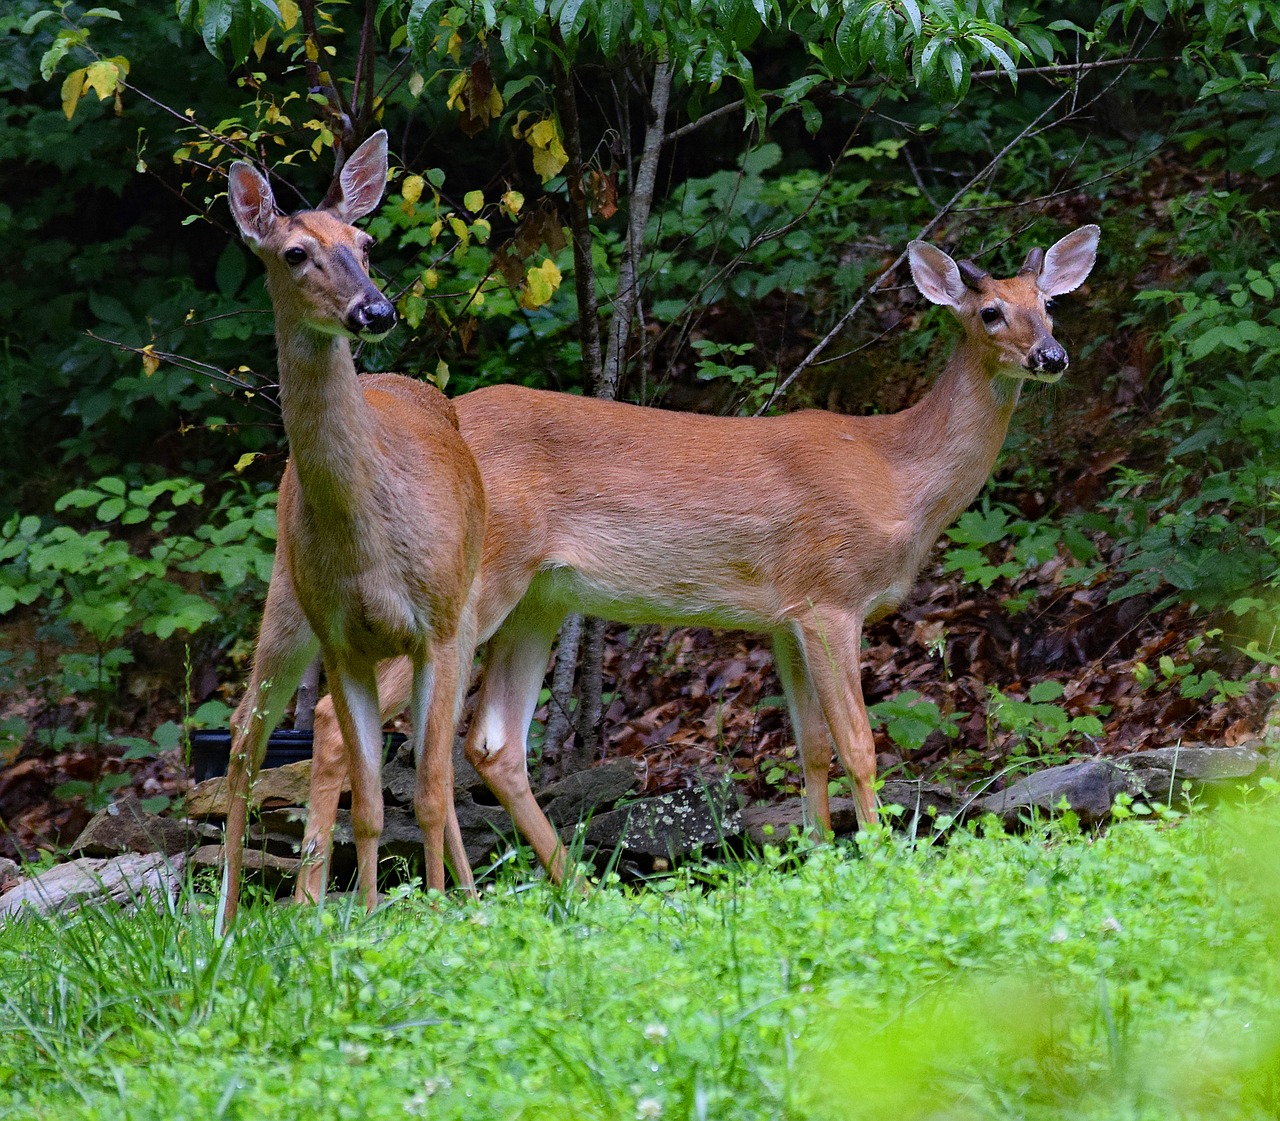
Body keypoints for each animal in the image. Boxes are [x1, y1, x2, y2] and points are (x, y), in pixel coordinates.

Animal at [217, 131, 481, 926]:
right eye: (296, 252)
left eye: (364, 242)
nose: (376, 310)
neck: (369, 538)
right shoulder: (342, 637)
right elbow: (368, 803)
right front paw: (366, 917)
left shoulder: (437, 625)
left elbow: (425, 794)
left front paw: (431, 911)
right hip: (286, 596)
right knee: (244, 734)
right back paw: (224, 919)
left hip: (462, 617)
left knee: (434, 764)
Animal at [290, 223, 1100, 895]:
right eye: (990, 312)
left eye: (1050, 306)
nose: (1053, 356)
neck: (896, 473)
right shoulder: (830, 595)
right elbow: (859, 745)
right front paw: (879, 864)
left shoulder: (784, 616)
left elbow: (811, 748)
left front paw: (820, 861)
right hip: (460, 589)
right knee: (337, 717)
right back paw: (324, 905)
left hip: (538, 598)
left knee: (491, 742)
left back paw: (573, 890)